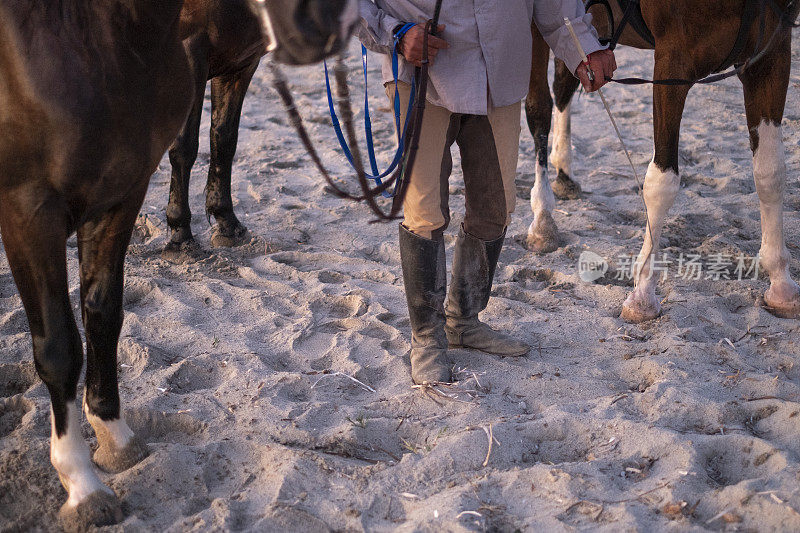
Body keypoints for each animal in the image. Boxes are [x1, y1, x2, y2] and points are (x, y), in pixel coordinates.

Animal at [0, 0, 354, 524]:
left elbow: (224, 139)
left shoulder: (237, 66)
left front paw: (225, 221)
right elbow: (59, 346)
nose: (320, 26)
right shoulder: (29, 213)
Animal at [524, 0, 800, 322]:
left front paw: (781, 284)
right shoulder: (673, 61)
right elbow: (662, 182)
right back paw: (542, 218)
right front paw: (643, 294)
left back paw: (563, 170)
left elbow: (770, 172)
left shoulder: (770, 56)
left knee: (565, 79)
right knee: (538, 107)